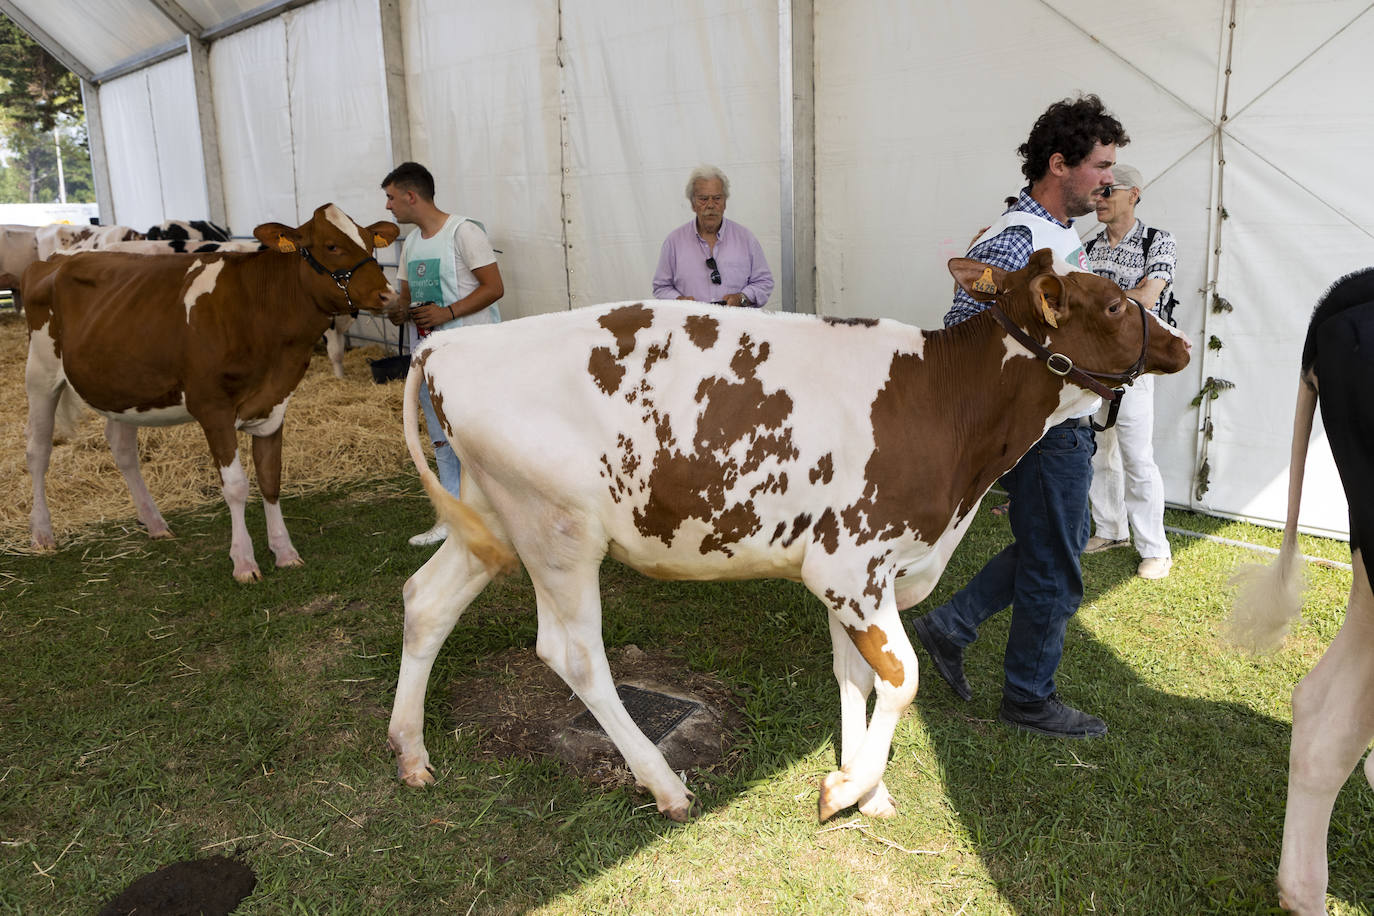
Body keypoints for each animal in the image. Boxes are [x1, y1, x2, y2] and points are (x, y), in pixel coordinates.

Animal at [24, 205, 401, 579]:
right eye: (331, 245)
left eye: (370, 241)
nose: (389, 295)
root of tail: (59, 259)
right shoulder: (213, 408)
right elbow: (235, 486)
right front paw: (244, 562)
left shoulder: (273, 403)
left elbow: (270, 478)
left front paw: (284, 552)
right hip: (40, 373)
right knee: (38, 451)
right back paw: (42, 534)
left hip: (120, 387)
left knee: (123, 449)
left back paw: (155, 523)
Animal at [387, 248, 1192, 823]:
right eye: (1114, 301)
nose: (1182, 342)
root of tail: (451, 349)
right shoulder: (850, 565)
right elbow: (903, 678)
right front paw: (846, 789)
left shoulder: (862, 573)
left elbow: (857, 675)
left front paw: (865, 785)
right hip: (557, 530)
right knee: (573, 654)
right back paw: (665, 785)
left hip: (490, 517)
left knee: (427, 600)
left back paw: (411, 752)